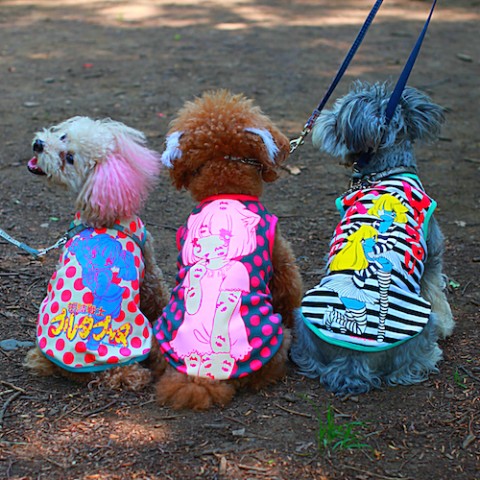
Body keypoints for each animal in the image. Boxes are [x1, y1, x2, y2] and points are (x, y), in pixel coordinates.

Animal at [24, 116, 169, 391]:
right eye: (64, 136)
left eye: (69, 157)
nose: (38, 144)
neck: (102, 214)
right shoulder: (149, 262)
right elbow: (159, 293)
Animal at [290, 81, 454, 396]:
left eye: (337, 113)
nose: (321, 118)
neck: (384, 171)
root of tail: (351, 359)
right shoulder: (432, 255)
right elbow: (436, 291)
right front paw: (447, 326)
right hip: (419, 321)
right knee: (409, 364)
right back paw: (431, 355)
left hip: (303, 317)